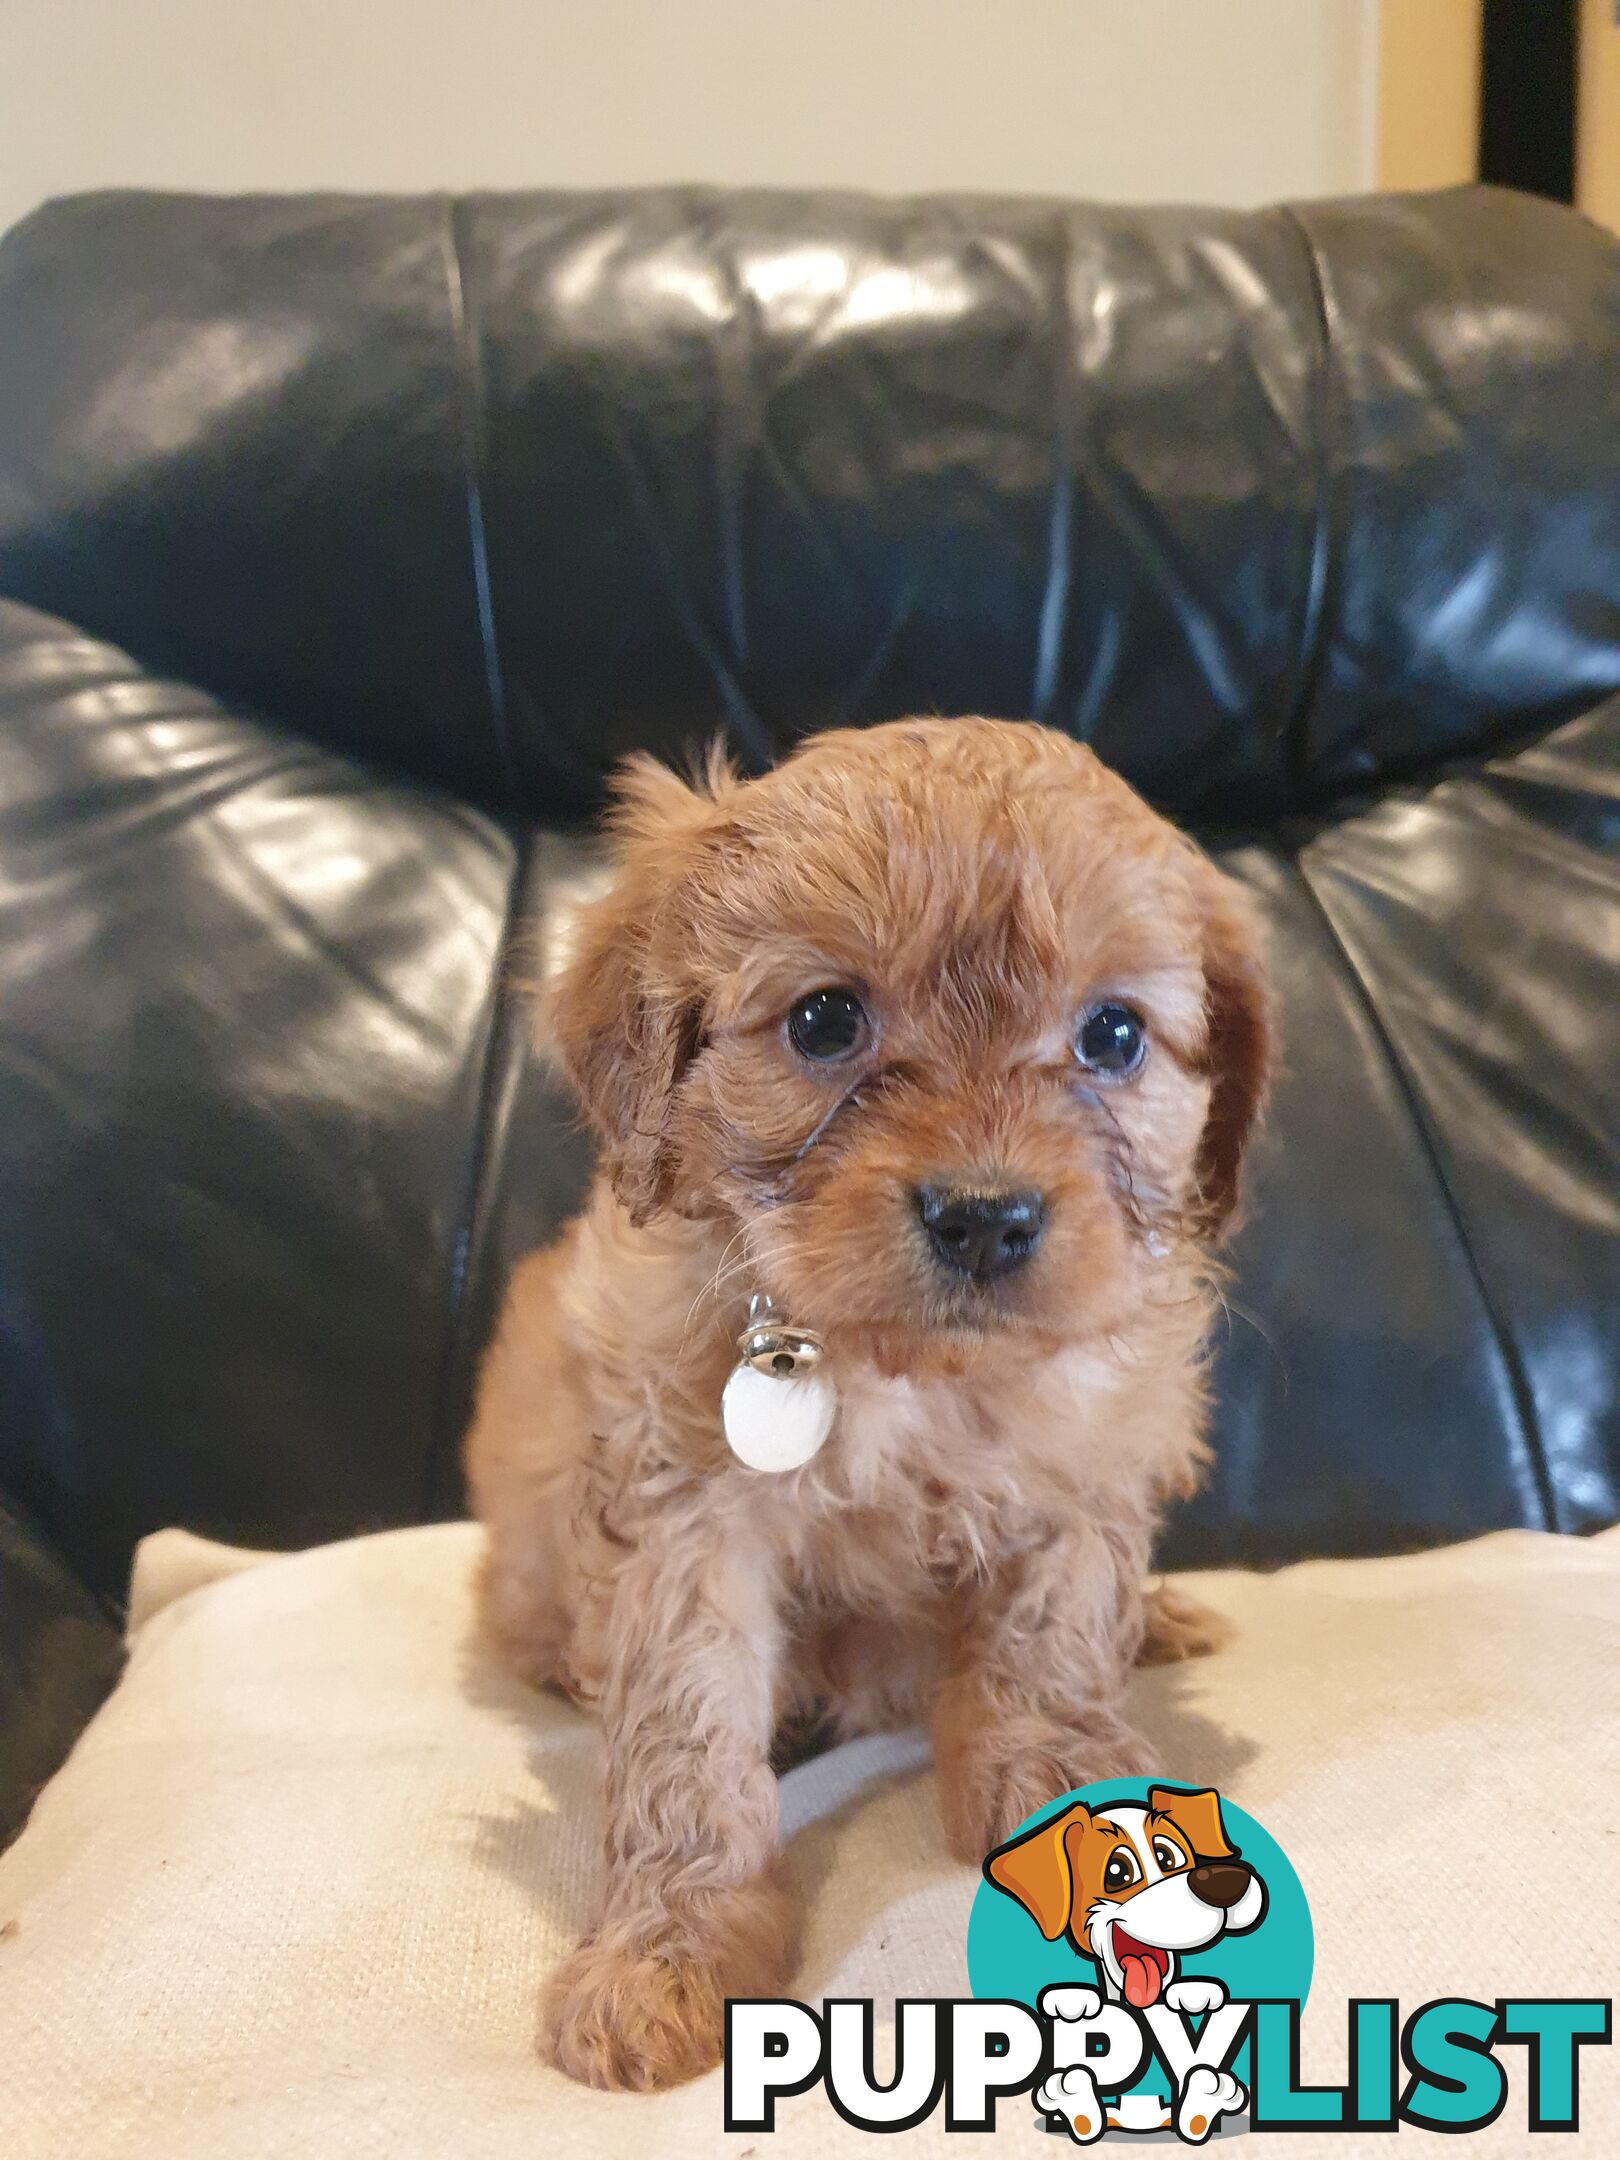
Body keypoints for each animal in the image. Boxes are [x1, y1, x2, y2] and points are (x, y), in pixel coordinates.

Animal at [462, 721, 1278, 2090]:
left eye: (1114, 1035)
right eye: (826, 1019)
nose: (985, 1215)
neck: (907, 1376)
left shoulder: (1085, 1459)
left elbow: (1052, 1636)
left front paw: (1059, 1781)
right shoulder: (683, 1523)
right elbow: (684, 1736)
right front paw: (668, 1949)